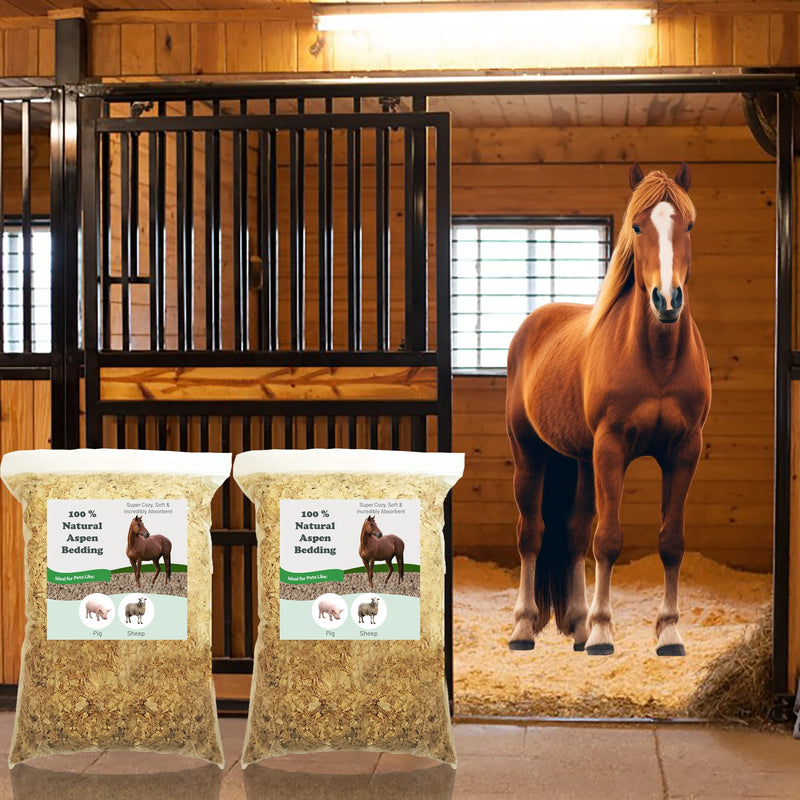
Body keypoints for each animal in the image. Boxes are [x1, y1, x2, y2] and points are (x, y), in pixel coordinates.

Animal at [506, 162, 711, 657]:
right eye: (637, 226)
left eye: (688, 226)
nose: (667, 300)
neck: (656, 361)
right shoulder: (611, 448)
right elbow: (609, 540)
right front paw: (603, 632)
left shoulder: (684, 451)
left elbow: (670, 542)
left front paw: (669, 633)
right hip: (530, 453)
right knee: (531, 534)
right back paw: (524, 627)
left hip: (581, 460)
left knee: (574, 534)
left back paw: (578, 626)